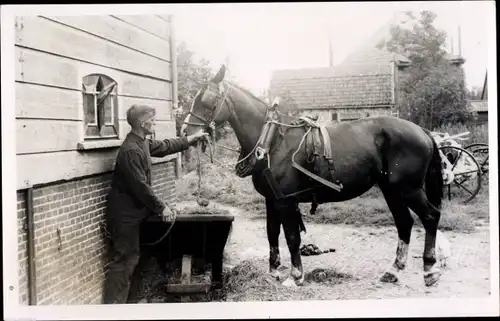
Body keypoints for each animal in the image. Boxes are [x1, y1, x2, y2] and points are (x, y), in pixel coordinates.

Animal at [181, 65, 446, 288]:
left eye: (206, 100)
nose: (186, 132)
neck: (273, 140)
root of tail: (422, 131)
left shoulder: (286, 201)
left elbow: (291, 237)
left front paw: (295, 276)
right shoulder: (272, 199)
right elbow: (271, 232)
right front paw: (273, 272)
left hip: (408, 189)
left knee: (430, 217)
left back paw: (430, 270)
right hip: (391, 189)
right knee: (405, 222)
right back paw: (394, 270)